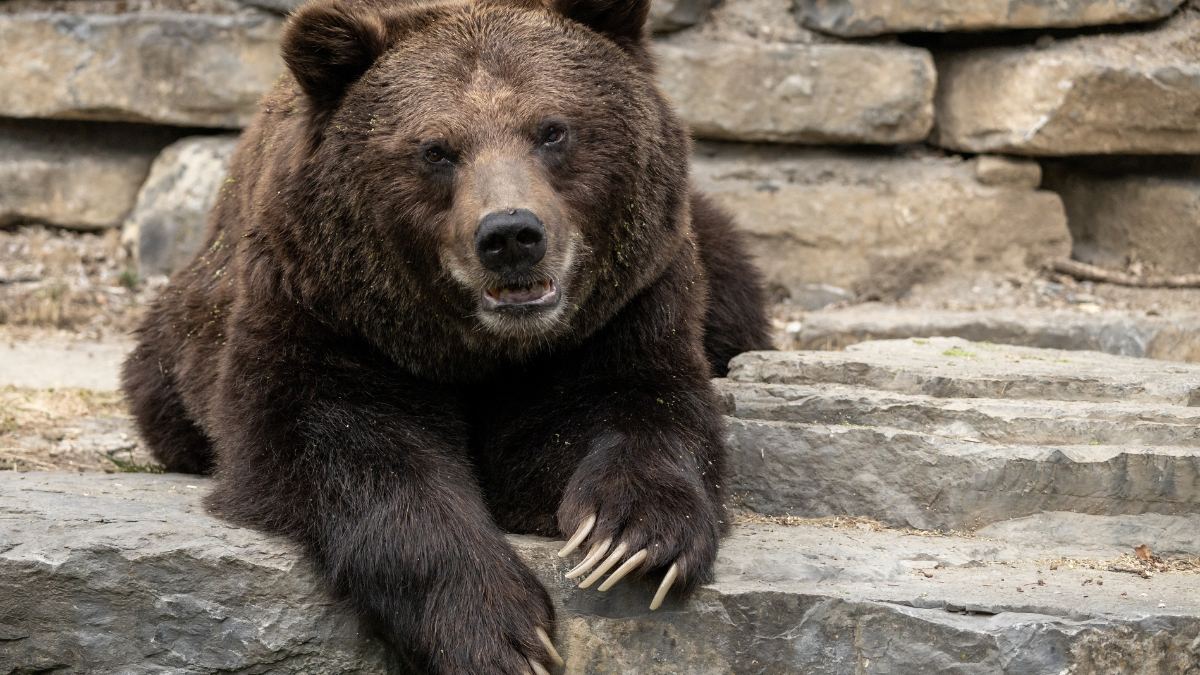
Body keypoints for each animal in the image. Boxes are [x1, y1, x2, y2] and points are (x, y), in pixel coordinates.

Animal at [121, 0, 771, 671]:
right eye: (436, 150)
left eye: (552, 130)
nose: (511, 235)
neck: (481, 349)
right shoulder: (323, 313)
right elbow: (342, 446)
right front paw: (497, 630)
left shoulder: (623, 310)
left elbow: (640, 405)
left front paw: (628, 540)